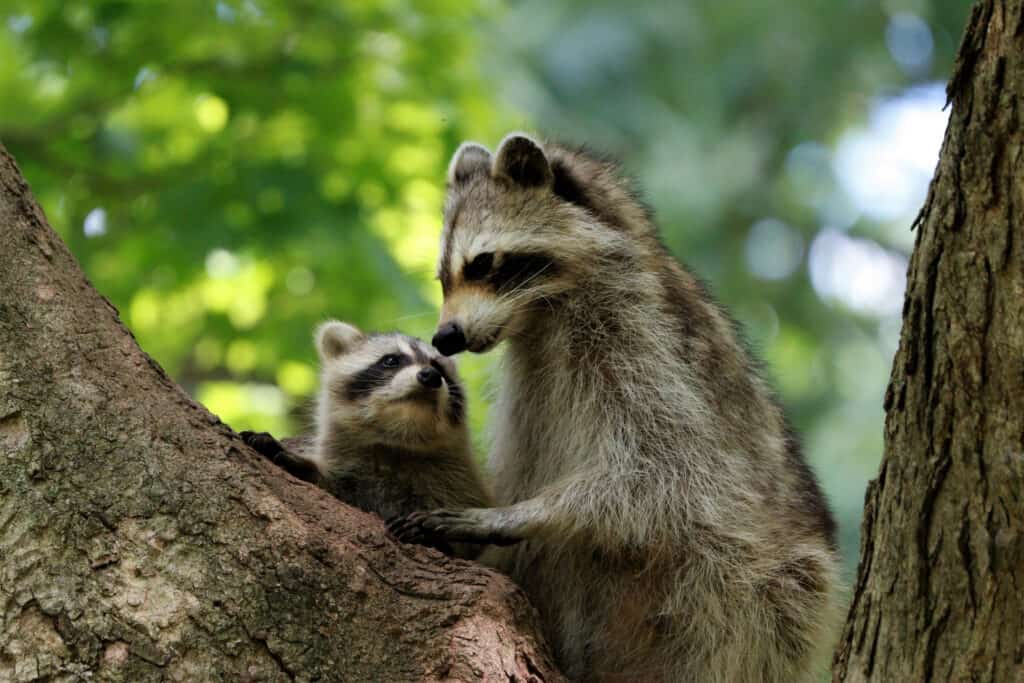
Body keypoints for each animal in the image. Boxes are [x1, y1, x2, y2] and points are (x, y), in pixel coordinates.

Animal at [243, 321, 491, 561]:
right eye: (391, 360)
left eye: (439, 368)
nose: (430, 375)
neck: (396, 442)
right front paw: (303, 465)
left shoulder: (458, 483)